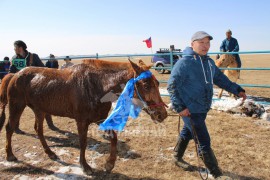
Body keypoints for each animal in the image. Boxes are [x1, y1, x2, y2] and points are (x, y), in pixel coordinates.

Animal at [0, 59, 168, 176]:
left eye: (157, 82)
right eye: (146, 85)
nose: (162, 114)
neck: (97, 85)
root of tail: (14, 75)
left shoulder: (100, 118)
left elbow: (113, 137)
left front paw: (109, 164)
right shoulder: (81, 121)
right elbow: (83, 142)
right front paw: (85, 166)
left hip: (39, 110)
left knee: (38, 130)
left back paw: (50, 153)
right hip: (17, 106)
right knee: (10, 128)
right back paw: (10, 155)